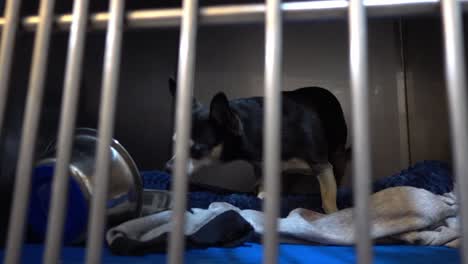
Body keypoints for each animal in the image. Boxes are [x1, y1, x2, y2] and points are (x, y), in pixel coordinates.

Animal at [166, 77, 350, 213]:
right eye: (174, 143)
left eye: (197, 150)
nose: (168, 167)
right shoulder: (261, 167)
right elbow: (263, 189)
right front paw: (262, 197)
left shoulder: (322, 166)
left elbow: (328, 196)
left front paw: (332, 213)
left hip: (337, 154)